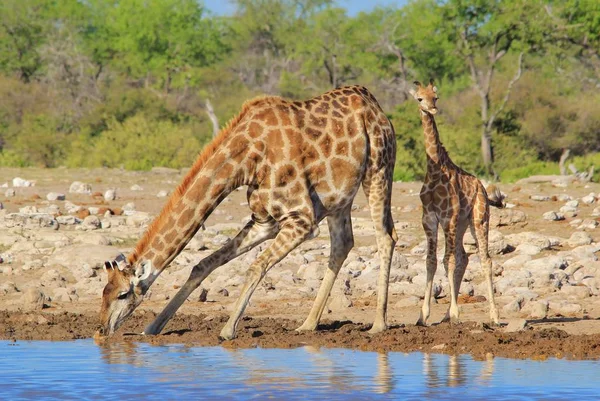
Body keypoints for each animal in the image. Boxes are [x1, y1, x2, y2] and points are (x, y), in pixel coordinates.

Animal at [97, 85, 398, 340]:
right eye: (103, 291)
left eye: (123, 294)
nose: (101, 330)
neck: (245, 160)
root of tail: (373, 103)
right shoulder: (265, 221)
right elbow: (203, 264)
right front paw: (153, 327)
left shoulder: (301, 219)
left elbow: (256, 266)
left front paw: (227, 330)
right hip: (339, 197)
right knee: (342, 244)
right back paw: (308, 324)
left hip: (379, 169)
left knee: (386, 237)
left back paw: (378, 325)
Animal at [410, 79, 504, 326]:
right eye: (419, 98)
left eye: (436, 96)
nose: (432, 109)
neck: (434, 170)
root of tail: (483, 188)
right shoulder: (429, 218)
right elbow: (431, 261)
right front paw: (423, 315)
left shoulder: (448, 217)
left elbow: (447, 261)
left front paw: (455, 313)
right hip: (462, 224)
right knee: (464, 257)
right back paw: (445, 315)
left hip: (478, 219)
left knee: (485, 259)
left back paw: (494, 316)